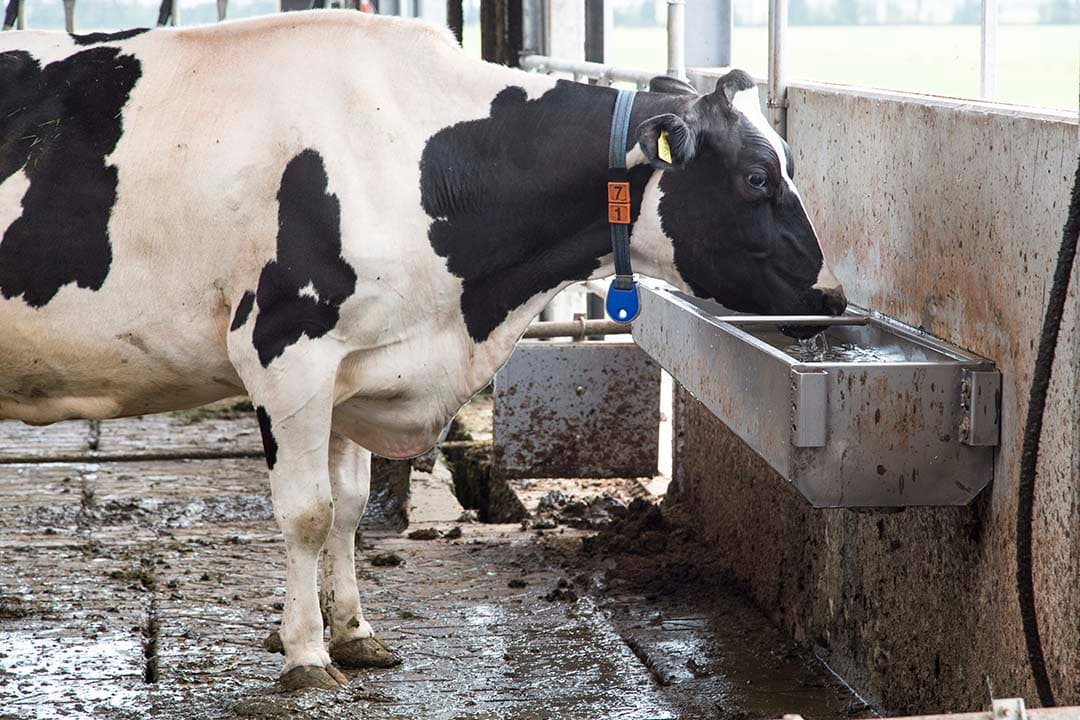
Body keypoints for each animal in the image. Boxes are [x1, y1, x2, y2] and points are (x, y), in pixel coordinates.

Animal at [0, 10, 846, 690]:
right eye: (756, 178)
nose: (833, 298)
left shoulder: (354, 362)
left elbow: (346, 508)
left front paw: (355, 634)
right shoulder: (285, 348)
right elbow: (306, 512)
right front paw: (307, 655)